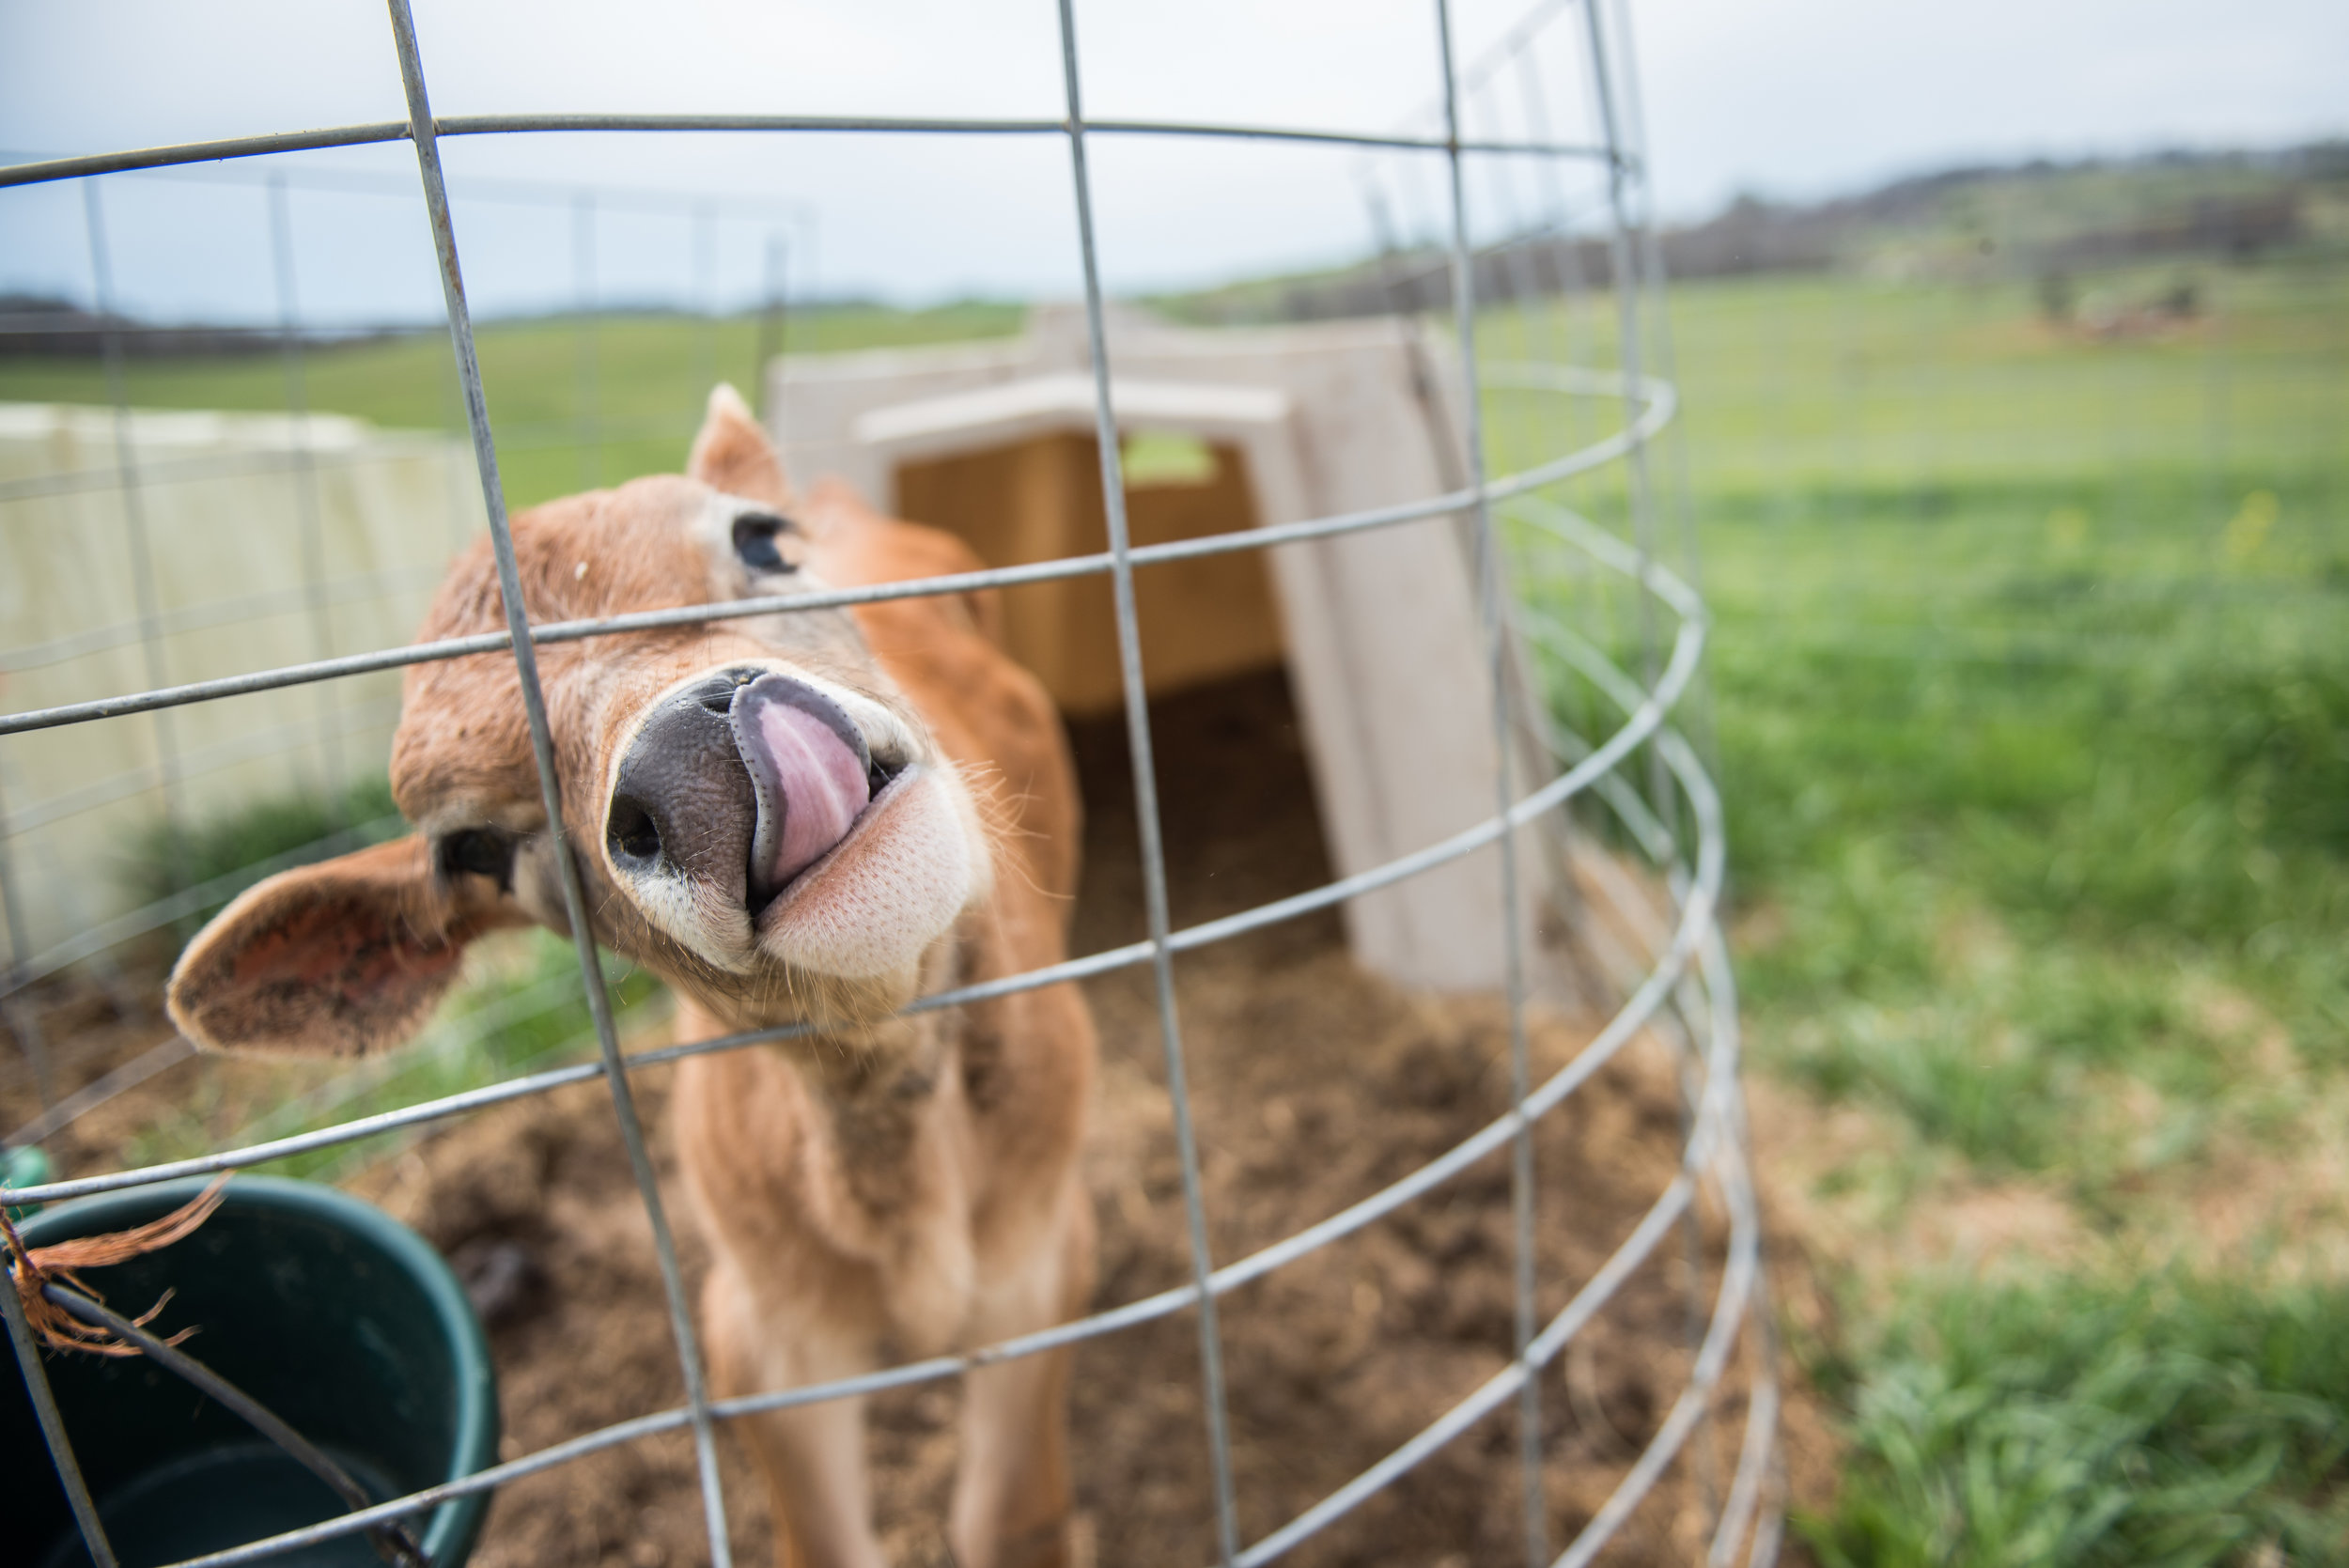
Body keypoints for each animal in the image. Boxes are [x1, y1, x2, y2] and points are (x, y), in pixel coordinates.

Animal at [165, 382, 1099, 1568]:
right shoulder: (759, 1332)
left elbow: (1007, 1514)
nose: (695, 767)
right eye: (473, 847)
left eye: (760, 540)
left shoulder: (1044, 1263)